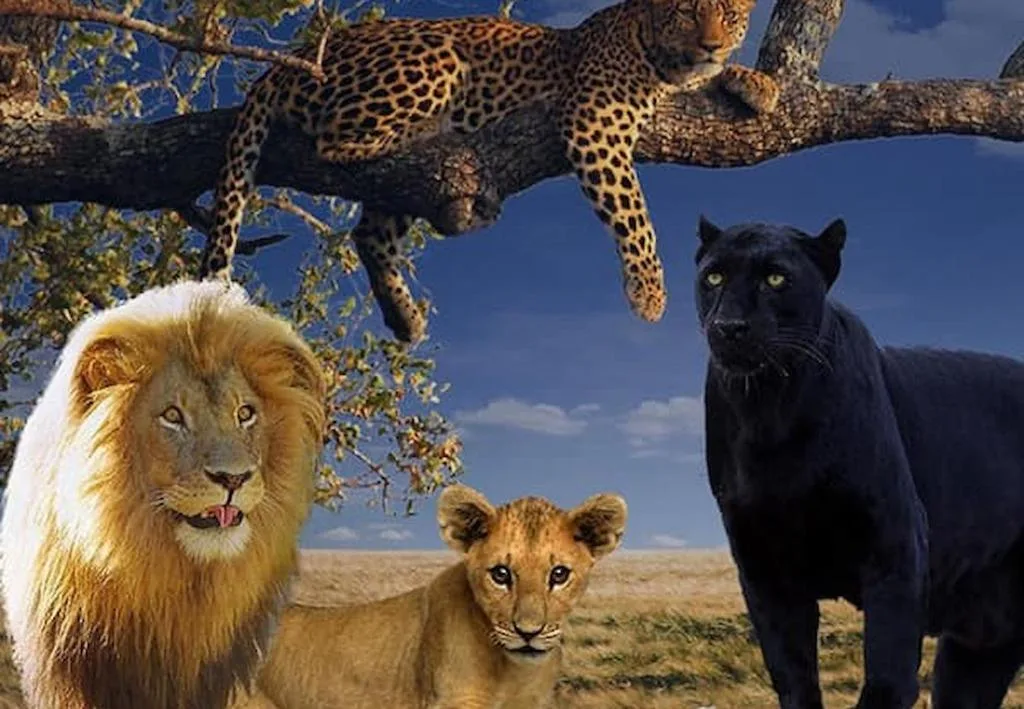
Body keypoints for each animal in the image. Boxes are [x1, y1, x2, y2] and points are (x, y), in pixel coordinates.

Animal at [201, 0, 778, 344]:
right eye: (688, 13)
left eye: (729, 17)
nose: (711, 43)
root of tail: (292, 60)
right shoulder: (594, 121)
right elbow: (635, 214)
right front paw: (649, 294)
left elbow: (714, 80)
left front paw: (758, 83)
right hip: (434, 59)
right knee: (334, 143)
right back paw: (428, 131)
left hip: (408, 185)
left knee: (370, 231)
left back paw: (403, 316)